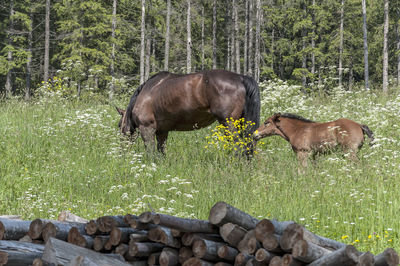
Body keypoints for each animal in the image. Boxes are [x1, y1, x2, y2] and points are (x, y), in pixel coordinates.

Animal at [116, 69, 260, 155]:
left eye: (119, 125)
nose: (122, 151)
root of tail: (241, 78)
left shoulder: (147, 129)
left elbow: (151, 153)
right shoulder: (162, 132)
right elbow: (161, 152)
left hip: (229, 124)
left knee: (239, 146)